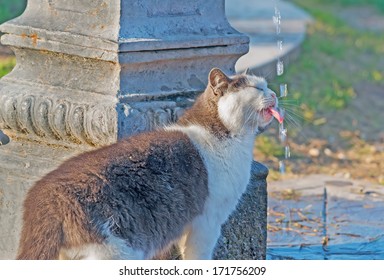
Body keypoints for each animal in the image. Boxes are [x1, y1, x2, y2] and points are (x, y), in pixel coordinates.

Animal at [16, 68, 284, 260]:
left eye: (266, 86)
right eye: (256, 87)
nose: (274, 94)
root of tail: (43, 199)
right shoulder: (207, 221)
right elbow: (198, 257)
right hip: (114, 249)